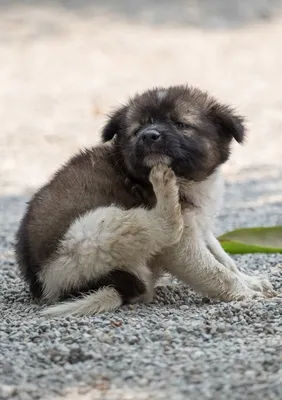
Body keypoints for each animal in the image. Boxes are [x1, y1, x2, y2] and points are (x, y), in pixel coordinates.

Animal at [14, 84, 276, 316]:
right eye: (137, 129)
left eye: (180, 124)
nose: (149, 136)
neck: (188, 180)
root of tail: (46, 284)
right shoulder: (180, 246)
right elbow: (214, 271)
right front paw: (245, 292)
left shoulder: (200, 224)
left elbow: (222, 258)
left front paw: (250, 281)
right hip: (91, 231)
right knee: (163, 228)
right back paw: (163, 186)